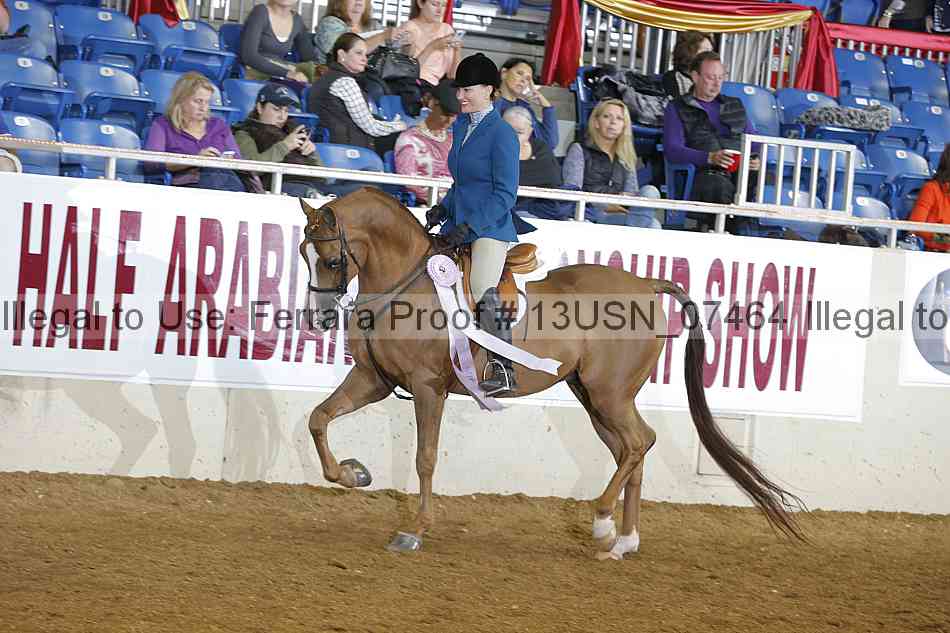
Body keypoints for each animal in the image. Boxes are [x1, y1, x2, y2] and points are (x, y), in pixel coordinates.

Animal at [298, 188, 805, 558]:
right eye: (305, 254)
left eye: (333, 259)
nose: (318, 319)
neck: (408, 284)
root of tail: (645, 284)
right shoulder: (375, 380)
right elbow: (318, 419)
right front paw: (353, 474)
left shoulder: (428, 389)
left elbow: (425, 458)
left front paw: (416, 530)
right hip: (596, 398)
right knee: (631, 450)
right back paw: (622, 541)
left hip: (608, 395)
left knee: (639, 443)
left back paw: (601, 520)